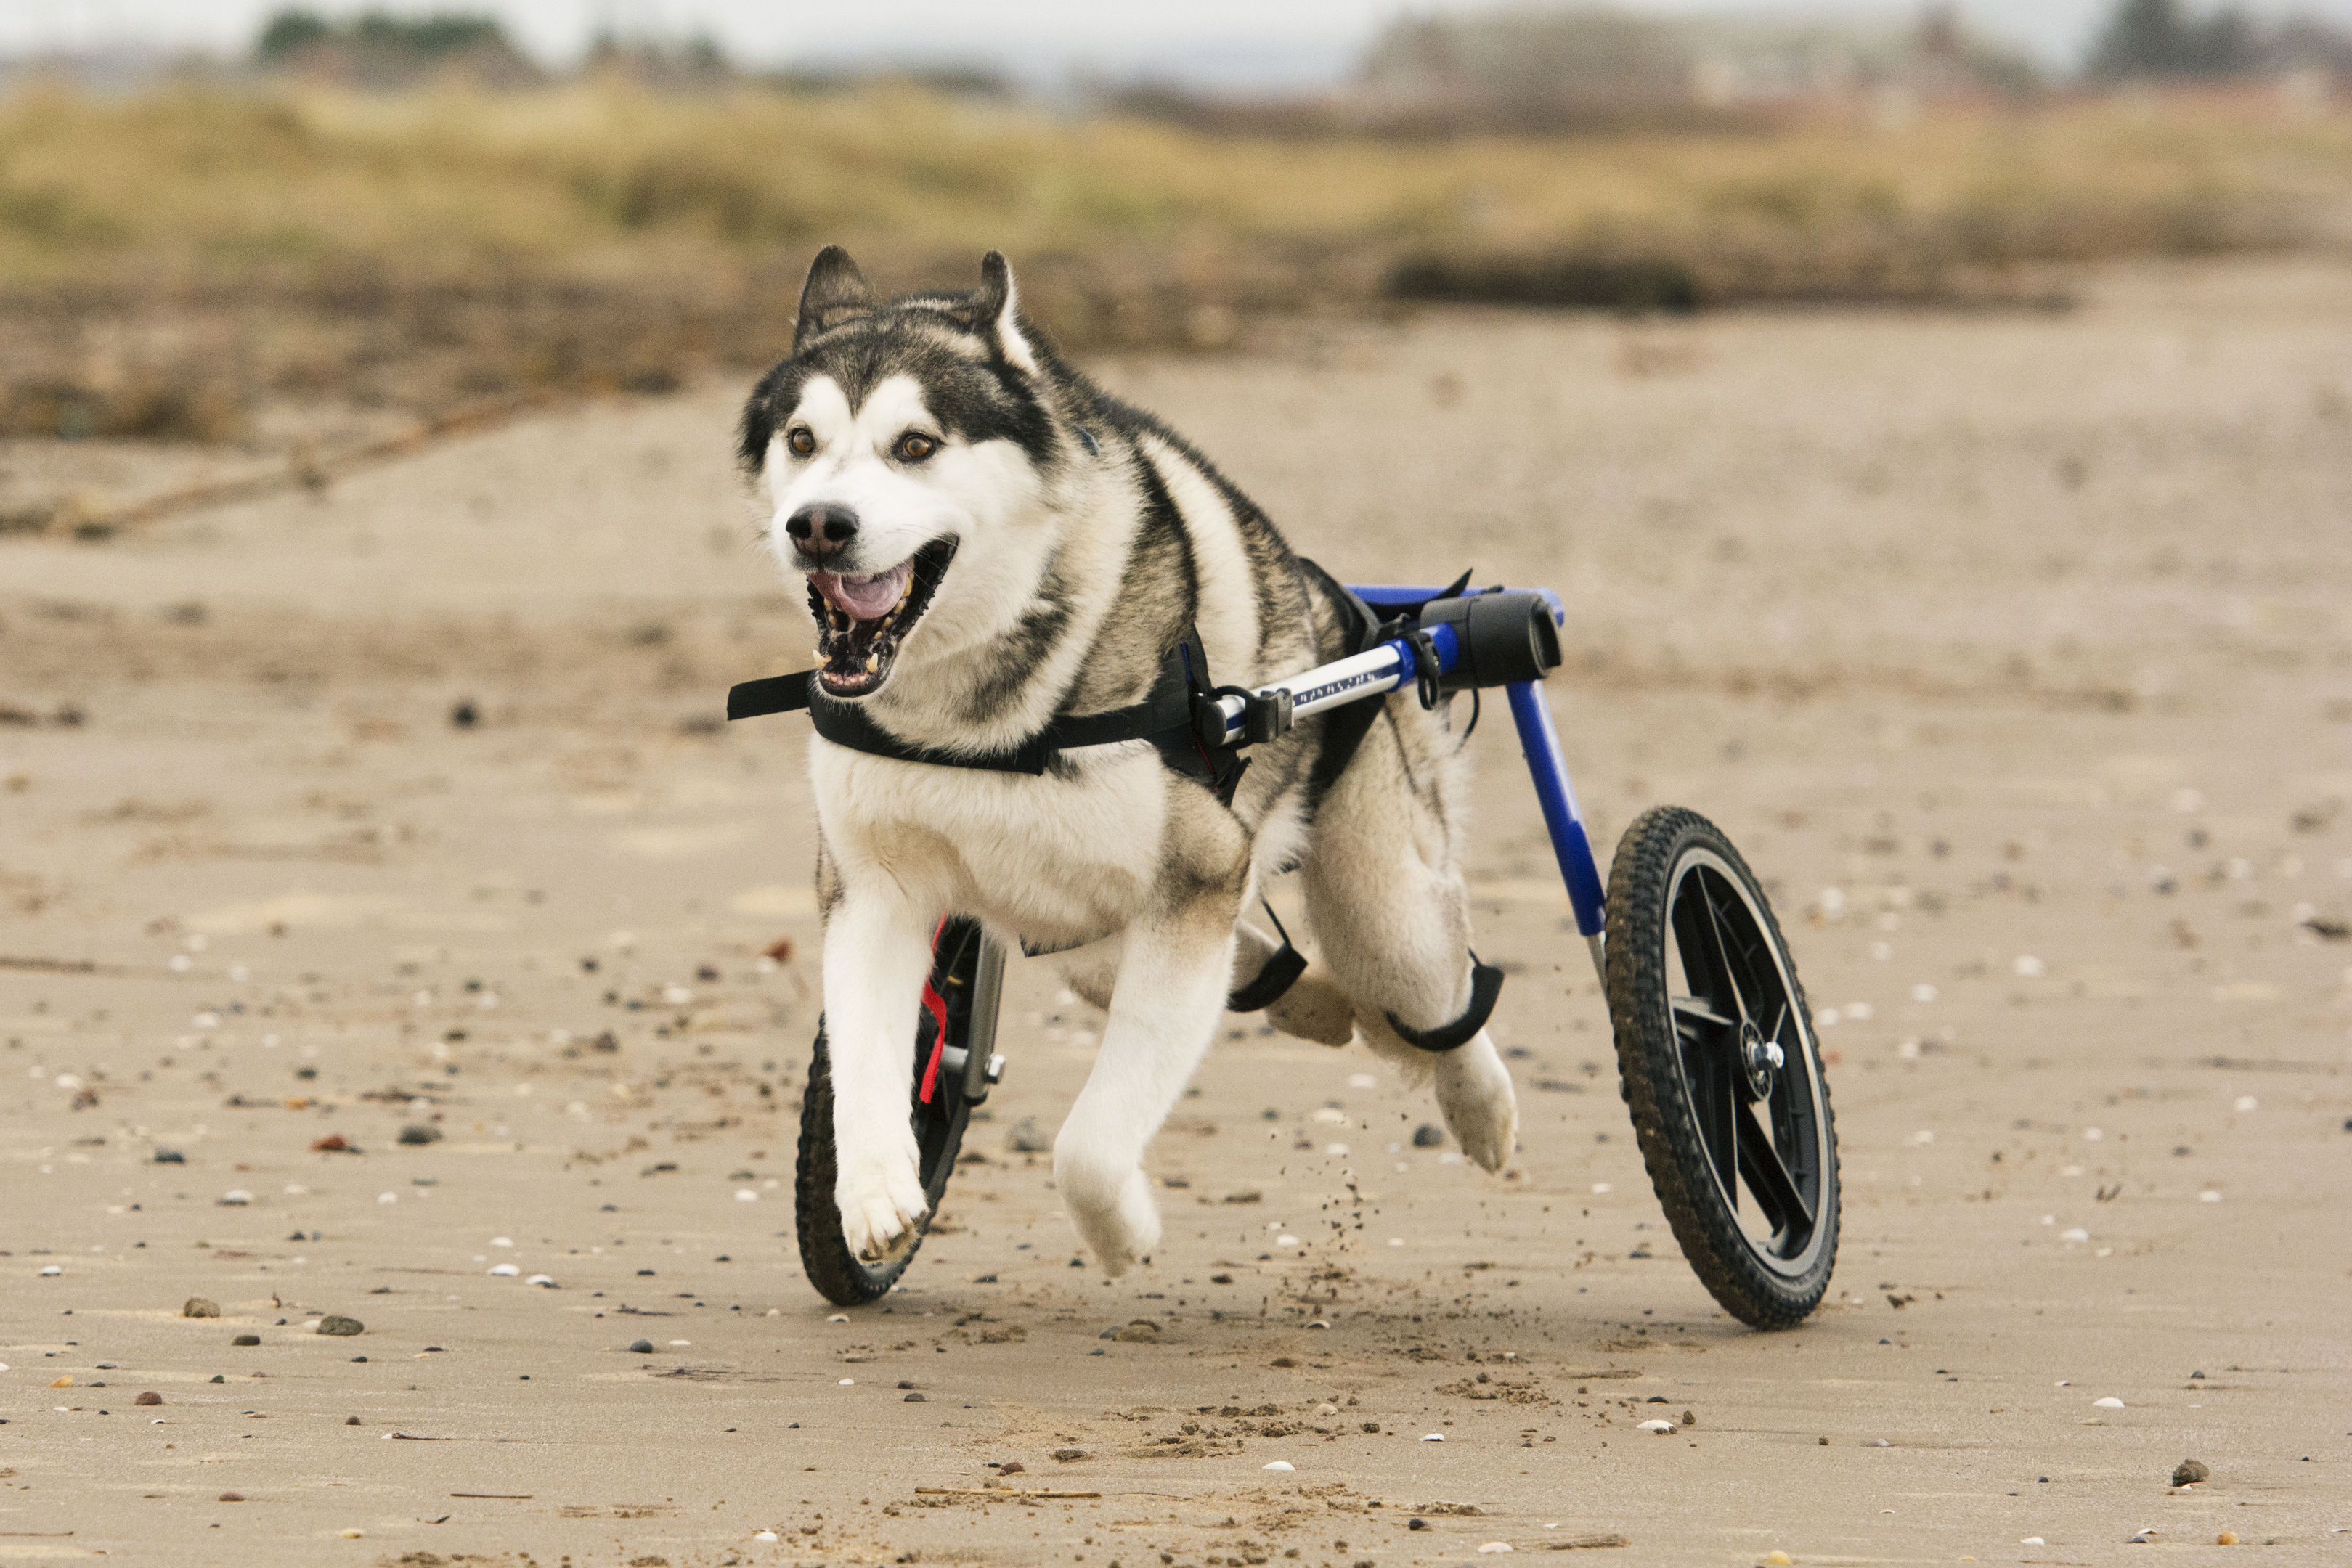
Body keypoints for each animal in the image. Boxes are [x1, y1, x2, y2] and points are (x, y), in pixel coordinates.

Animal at [738, 245, 1523, 1278]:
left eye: (915, 445)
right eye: (801, 440)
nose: (819, 526)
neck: (973, 712)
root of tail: (1367, 617)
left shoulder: (1193, 884)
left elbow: (1091, 1144)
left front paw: (1121, 1234)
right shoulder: (875, 889)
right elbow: (871, 1067)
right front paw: (873, 1200)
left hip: (1377, 903)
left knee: (1433, 996)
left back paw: (1479, 1108)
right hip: (1079, 929)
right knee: (1235, 965)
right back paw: (1312, 1002)